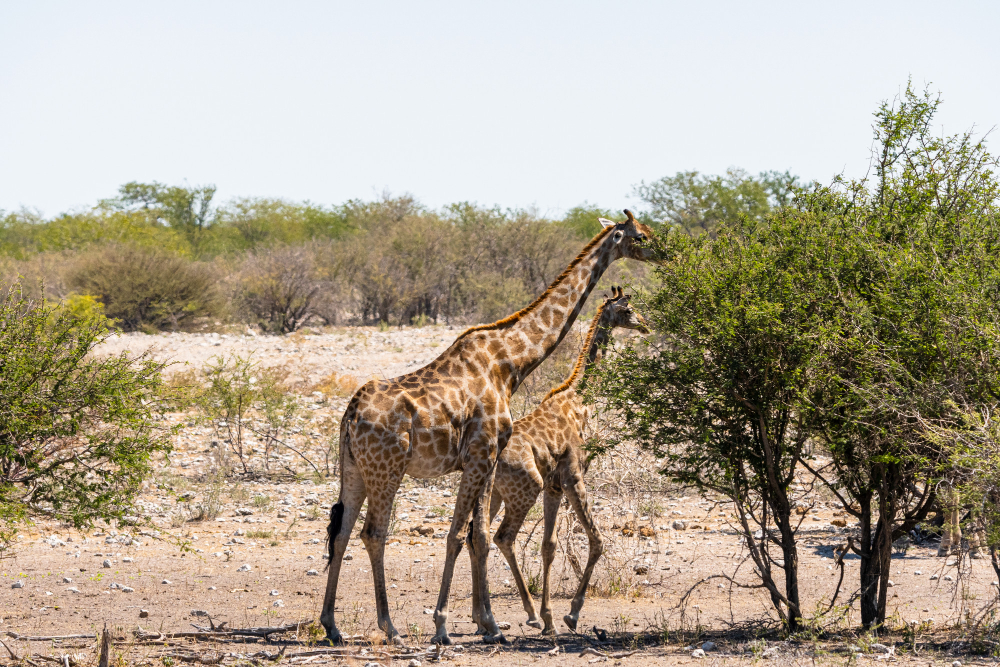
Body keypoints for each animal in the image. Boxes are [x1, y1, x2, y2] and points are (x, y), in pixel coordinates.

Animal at [316, 210, 652, 648]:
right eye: (642, 235)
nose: (666, 252)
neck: (509, 363)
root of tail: (350, 414)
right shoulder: (482, 454)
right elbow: (461, 534)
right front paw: (446, 625)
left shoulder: (488, 459)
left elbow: (478, 536)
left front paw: (489, 624)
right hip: (387, 470)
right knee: (374, 533)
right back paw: (390, 627)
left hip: (353, 469)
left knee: (340, 532)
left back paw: (332, 625)